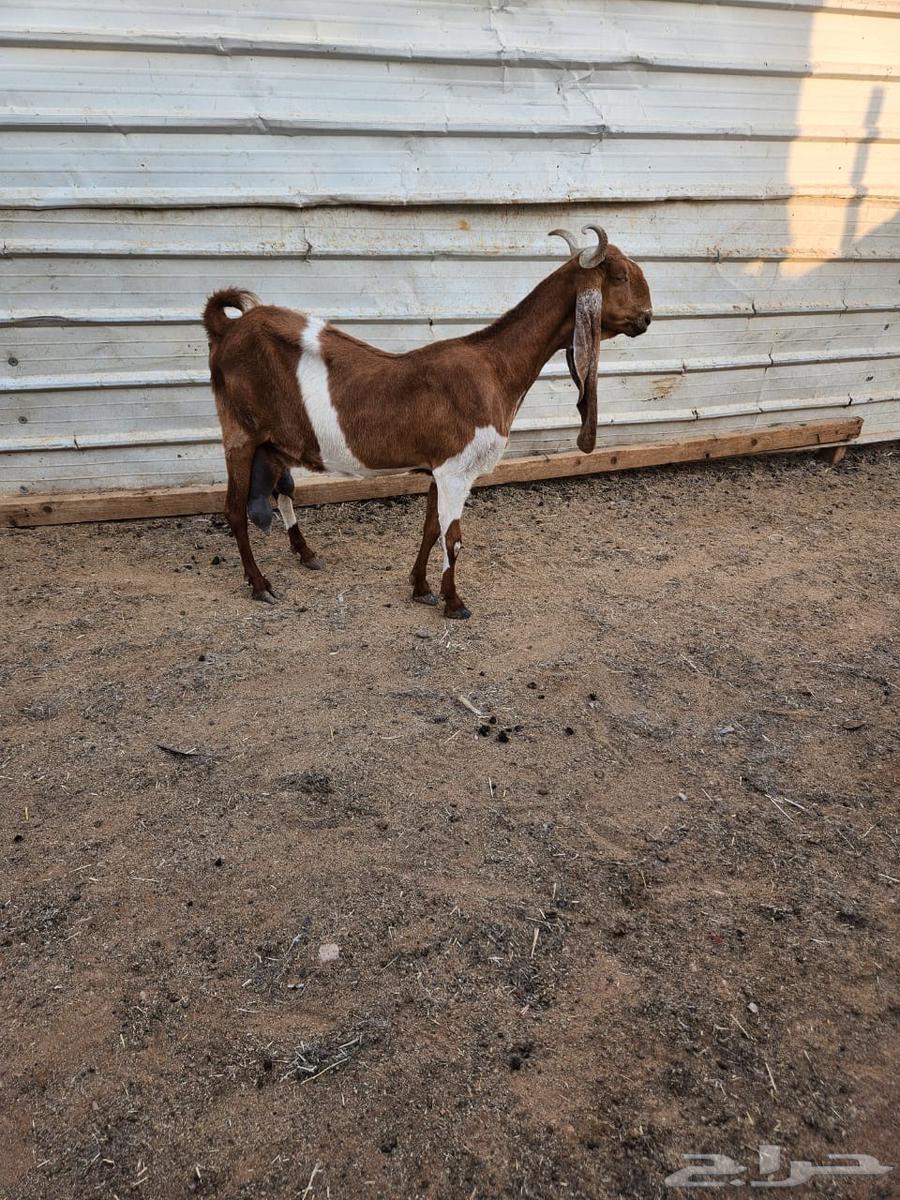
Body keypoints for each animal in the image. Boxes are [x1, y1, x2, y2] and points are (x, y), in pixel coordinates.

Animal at [202, 225, 652, 617]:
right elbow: (453, 539)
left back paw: (306, 554)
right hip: (238, 432)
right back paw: (260, 584)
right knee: (234, 509)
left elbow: (430, 530)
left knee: (282, 489)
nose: (647, 317)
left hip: (275, 439)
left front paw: (420, 588)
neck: (496, 367)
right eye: (619, 275)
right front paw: (454, 603)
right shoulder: (457, 470)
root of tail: (228, 329)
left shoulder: (440, 469)